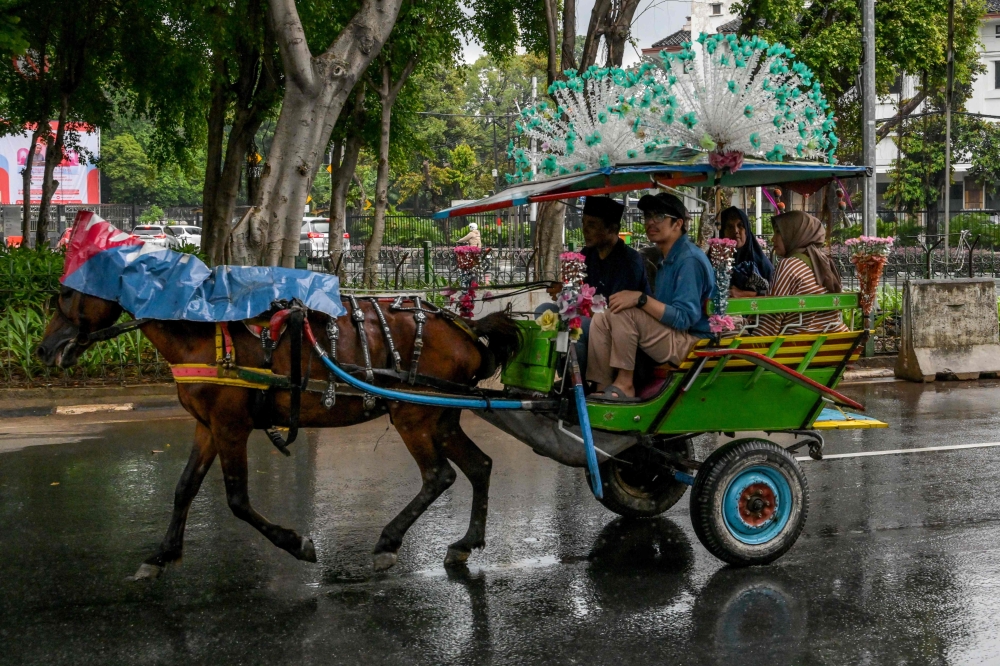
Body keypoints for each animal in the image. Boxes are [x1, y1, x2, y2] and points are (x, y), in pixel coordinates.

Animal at [37, 286, 524, 576]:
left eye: (67, 295)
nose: (44, 349)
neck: (201, 336)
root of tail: (467, 328)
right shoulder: (207, 427)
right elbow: (184, 488)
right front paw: (162, 554)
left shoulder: (230, 426)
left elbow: (237, 500)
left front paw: (297, 543)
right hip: (440, 416)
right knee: (479, 466)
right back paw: (465, 543)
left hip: (413, 416)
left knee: (439, 475)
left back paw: (388, 540)